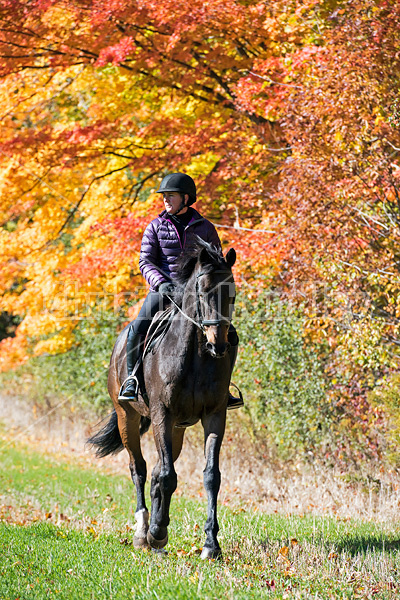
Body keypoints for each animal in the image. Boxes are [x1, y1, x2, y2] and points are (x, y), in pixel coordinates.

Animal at [88, 239, 234, 556]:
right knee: (140, 469)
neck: (195, 356)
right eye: (202, 290)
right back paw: (144, 531)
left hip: (177, 428)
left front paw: (211, 544)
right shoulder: (161, 414)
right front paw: (155, 533)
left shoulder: (215, 416)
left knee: (156, 471)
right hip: (127, 417)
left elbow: (210, 476)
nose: (218, 345)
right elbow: (166, 475)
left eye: (232, 292)